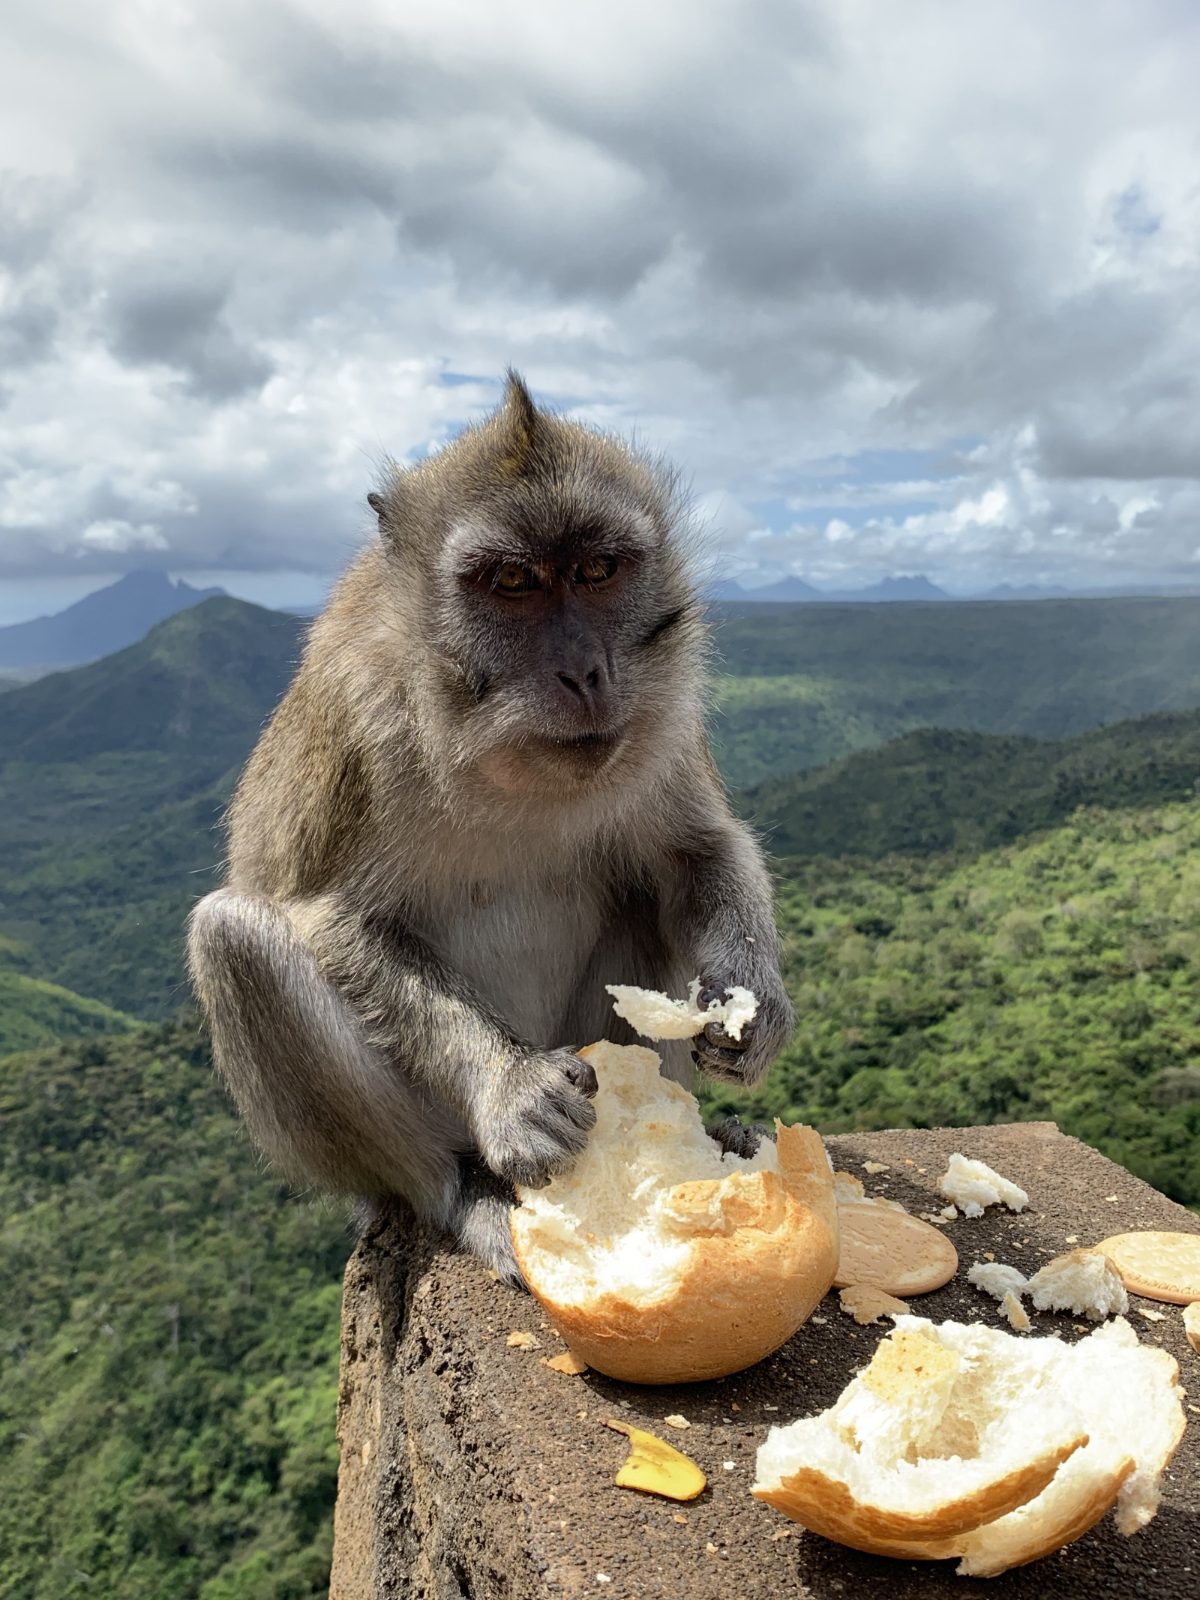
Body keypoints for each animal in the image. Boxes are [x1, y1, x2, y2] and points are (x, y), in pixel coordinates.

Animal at [187, 372, 794, 1284]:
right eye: (512, 581)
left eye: (597, 569)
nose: (584, 672)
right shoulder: (359, 712)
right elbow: (330, 918)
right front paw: (511, 1089)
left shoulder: (663, 714)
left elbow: (695, 850)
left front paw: (750, 1002)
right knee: (235, 938)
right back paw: (465, 1191)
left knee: (645, 890)